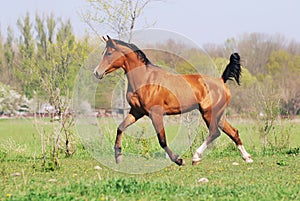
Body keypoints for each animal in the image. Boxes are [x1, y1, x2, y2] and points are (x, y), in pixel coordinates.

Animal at [94, 35, 253, 166]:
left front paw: (178, 160)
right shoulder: (137, 112)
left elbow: (162, 140)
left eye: (109, 53)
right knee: (233, 132)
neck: (145, 79)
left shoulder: (155, 114)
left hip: (208, 113)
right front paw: (118, 156)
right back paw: (247, 158)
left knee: (214, 132)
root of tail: (221, 80)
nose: (96, 72)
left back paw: (196, 157)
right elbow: (120, 127)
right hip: (218, 115)